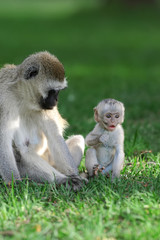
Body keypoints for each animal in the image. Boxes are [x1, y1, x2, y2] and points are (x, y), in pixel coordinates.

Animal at [0, 51, 85, 189]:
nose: (56, 100)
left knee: (78, 138)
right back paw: (61, 180)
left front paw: (74, 175)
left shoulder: (46, 108)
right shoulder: (4, 100)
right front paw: (14, 183)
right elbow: (4, 141)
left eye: (58, 91)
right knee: (24, 152)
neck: (23, 98)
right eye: (53, 91)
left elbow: (55, 136)